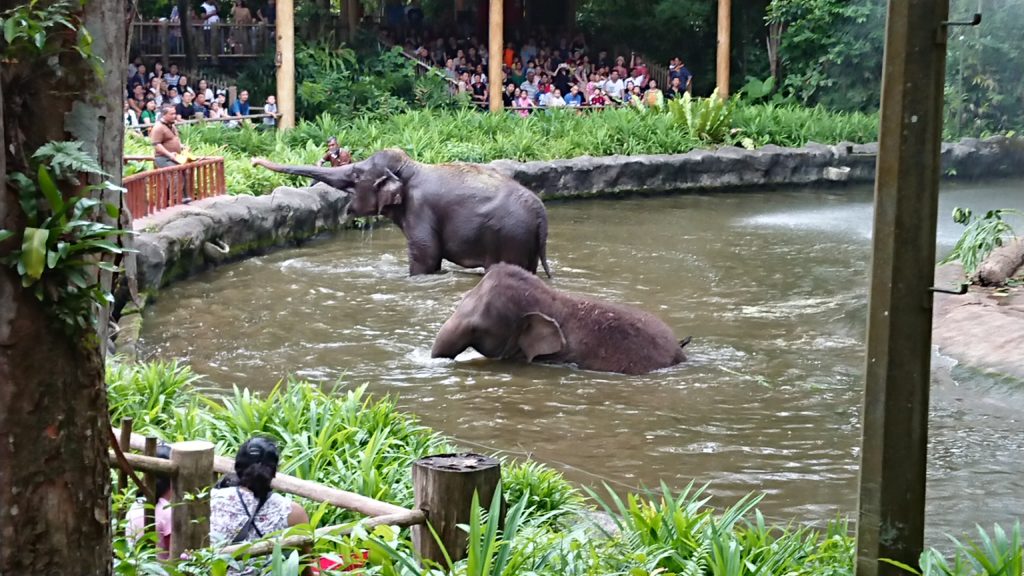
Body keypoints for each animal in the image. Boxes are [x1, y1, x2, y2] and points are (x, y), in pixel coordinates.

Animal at [248, 146, 552, 274]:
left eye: (356, 175)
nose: (253, 161)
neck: (411, 167)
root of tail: (541, 216)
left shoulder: (420, 209)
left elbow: (426, 256)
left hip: (509, 236)